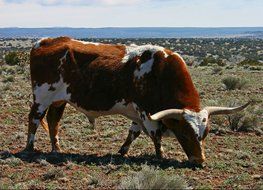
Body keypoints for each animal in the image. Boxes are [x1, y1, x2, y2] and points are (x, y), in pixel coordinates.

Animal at [25, 36, 251, 163]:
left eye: (205, 134)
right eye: (184, 134)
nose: (199, 160)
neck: (160, 72)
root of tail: (44, 41)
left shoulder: (138, 113)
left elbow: (133, 133)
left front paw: (123, 151)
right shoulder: (145, 112)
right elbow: (154, 135)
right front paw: (160, 156)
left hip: (58, 100)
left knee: (53, 121)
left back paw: (56, 149)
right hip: (42, 97)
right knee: (34, 119)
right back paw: (29, 148)